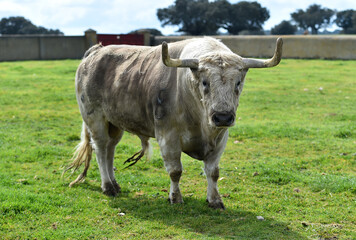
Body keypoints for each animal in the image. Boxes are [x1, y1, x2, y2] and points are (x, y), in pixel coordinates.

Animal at [65, 36, 282, 209]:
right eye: (205, 82)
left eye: (238, 82)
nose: (222, 117)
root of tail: (96, 52)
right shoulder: (167, 137)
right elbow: (175, 171)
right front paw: (175, 198)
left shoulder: (221, 139)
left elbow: (213, 172)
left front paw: (215, 200)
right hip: (95, 119)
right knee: (101, 150)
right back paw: (108, 186)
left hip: (115, 123)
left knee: (110, 150)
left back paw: (115, 184)